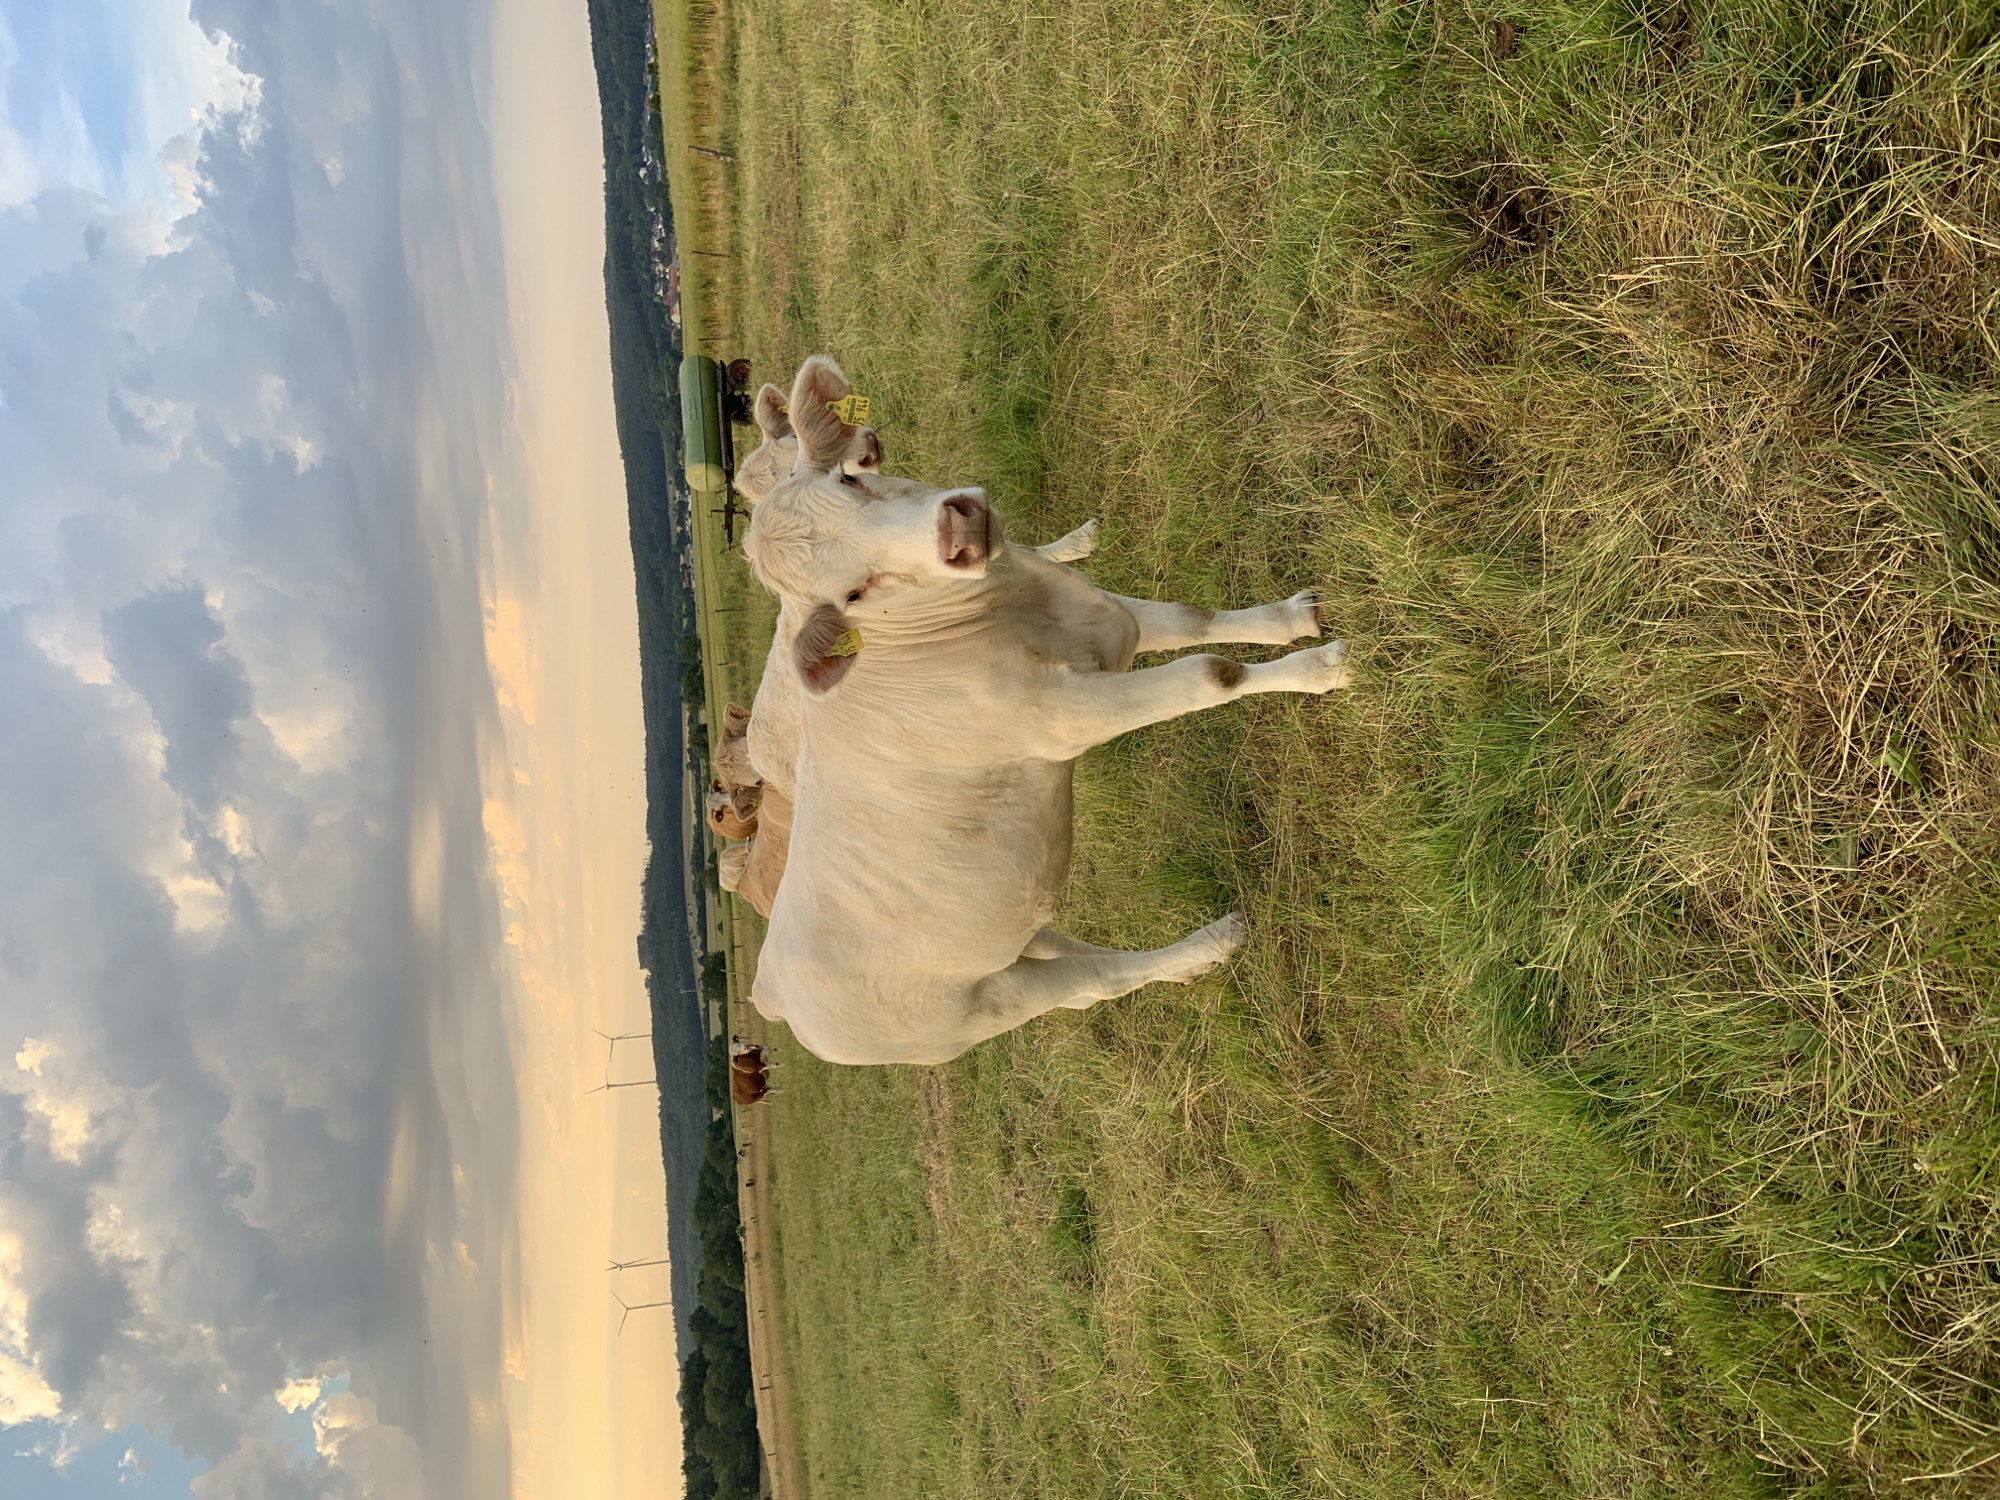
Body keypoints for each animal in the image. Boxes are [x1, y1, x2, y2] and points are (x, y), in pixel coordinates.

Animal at [735, 354, 1353, 1066]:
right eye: (854, 593)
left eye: (849, 477)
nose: (958, 526)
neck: (1021, 607)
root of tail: (772, 993)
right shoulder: (1068, 713)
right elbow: (1211, 673)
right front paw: (1324, 669)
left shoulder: (1108, 620)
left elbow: (1193, 619)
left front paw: (1293, 621)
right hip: (979, 1009)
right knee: (1093, 983)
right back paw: (1208, 948)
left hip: (1005, 942)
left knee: (1052, 941)